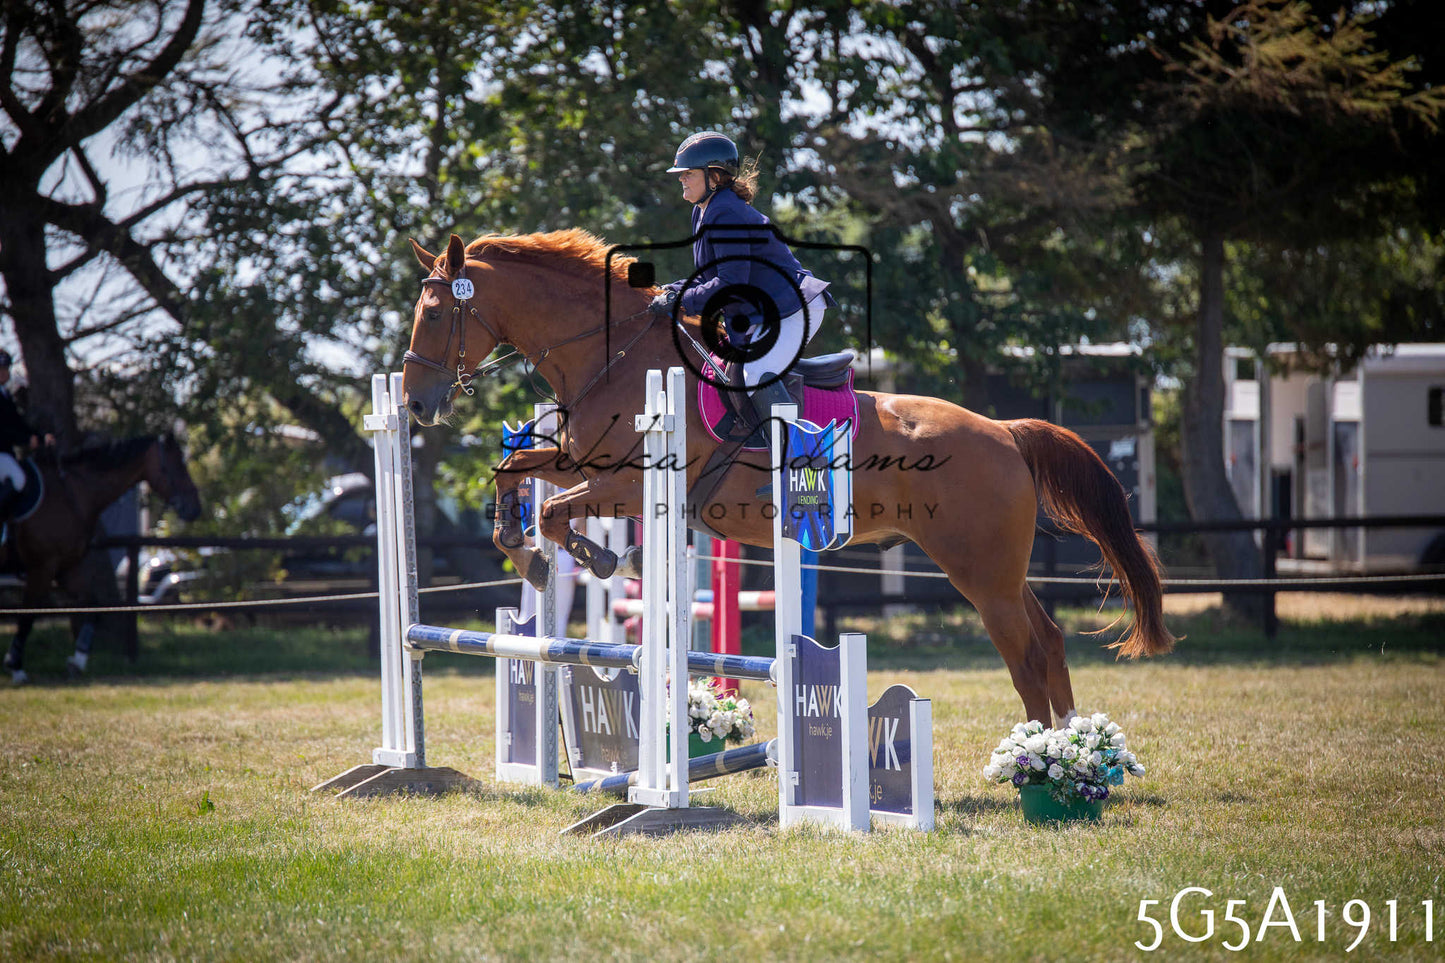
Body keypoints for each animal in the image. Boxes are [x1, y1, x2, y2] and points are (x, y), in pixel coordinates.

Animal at [2, 433, 202, 682]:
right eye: (178, 464)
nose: (195, 507)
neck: (73, 492)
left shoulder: (65, 566)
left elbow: (92, 605)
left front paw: (77, 661)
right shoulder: (43, 566)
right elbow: (27, 615)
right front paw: (16, 667)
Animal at [401, 230, 1174, 725]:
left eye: (434, 312)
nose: (414, 403)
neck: (611, 356)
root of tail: (1005, 432)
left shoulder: (625, 481)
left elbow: (557, 511)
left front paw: (584, 555)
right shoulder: (580, 460)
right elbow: (513, 472)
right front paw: (529, 552)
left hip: (980, 571)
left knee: (1024, 649)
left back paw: (1038, 759)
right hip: (996, 570)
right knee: (1049, 639)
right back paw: (1070, 742)